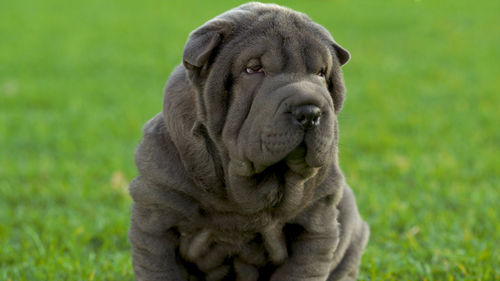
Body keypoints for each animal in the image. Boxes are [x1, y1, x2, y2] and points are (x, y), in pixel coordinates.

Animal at [130, 2, 372, 280]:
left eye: (321, 73)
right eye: (253, 69)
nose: (309, 112)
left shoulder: (315, 227)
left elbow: (303, 270)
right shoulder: (156, 217)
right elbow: (159, 268)